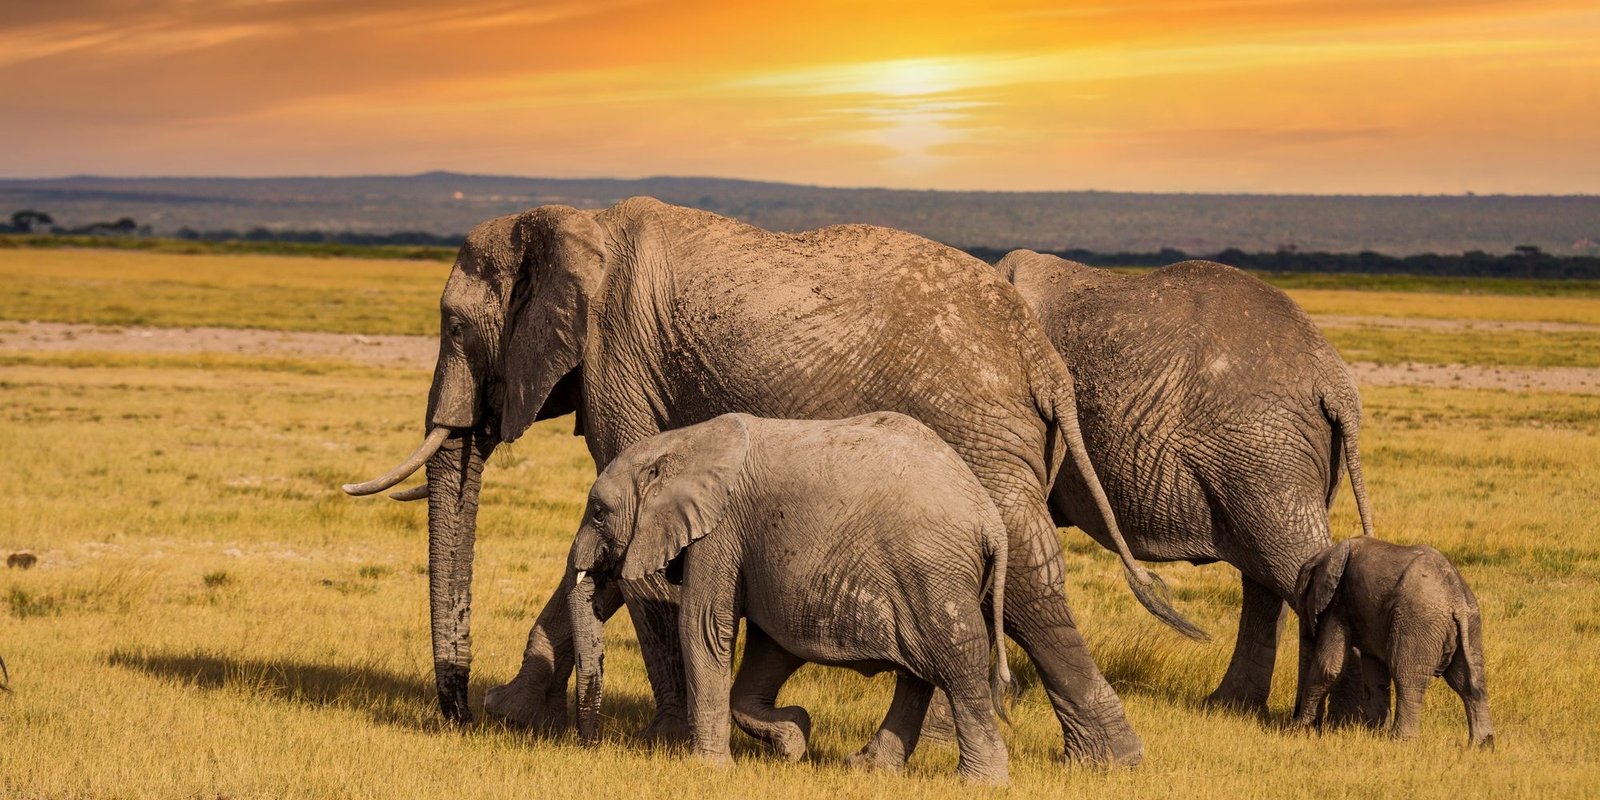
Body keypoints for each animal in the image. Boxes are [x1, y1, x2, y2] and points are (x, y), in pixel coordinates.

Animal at [567, 412, 1013, 784]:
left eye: (598, 513)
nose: (590, 745)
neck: (683, 441)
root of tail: (991, 519)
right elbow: (769, 647)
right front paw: (794, 741)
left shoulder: (722, 530)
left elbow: (704, 625)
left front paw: (710, 769)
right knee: (918, 674)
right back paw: (868, 768)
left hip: (932, 572)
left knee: (959, 667)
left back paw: (980, 783)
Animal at [997, 252, 1375, 712]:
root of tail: (1335, 383)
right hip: (1281, 453)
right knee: (1271, 578)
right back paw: (1236, 708)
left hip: (1262, 451)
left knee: (1290, 564)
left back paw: (1341, 719)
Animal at [1292, 537, 1493, 747]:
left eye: (1298, 603)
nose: (1294, 715)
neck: (1328, 554)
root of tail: (1456, 598)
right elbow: (1375, 672)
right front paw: (1375, 733)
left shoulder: (1339, 603)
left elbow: (1329, 667)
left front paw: (1299, 730)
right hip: (1471, 623)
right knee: (1469, 683)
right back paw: (1482, 746)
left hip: (1418, 622)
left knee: (1407, 678)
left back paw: (1401, 742)